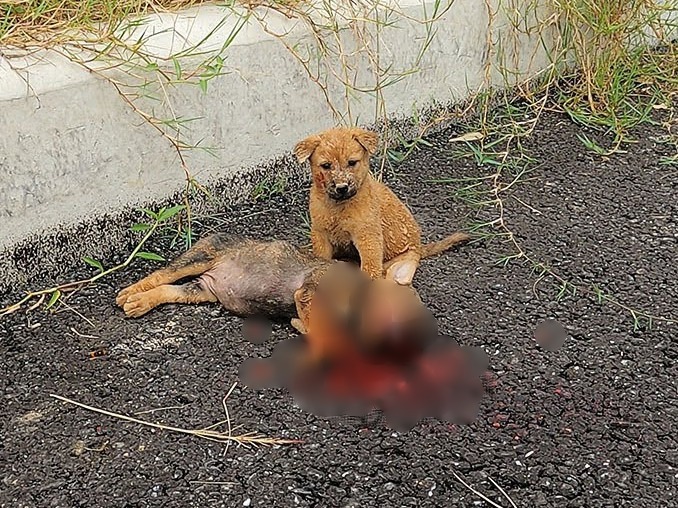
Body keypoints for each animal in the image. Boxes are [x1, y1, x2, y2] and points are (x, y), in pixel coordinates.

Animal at [294, 126, 470, 285]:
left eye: (352, 162)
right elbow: (321, 258)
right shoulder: (320, 234)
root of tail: (419, 247)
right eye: (326, 165)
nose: (342, 187)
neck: (338, 207)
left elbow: (370, 267)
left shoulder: (368, 237)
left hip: (400, 269)